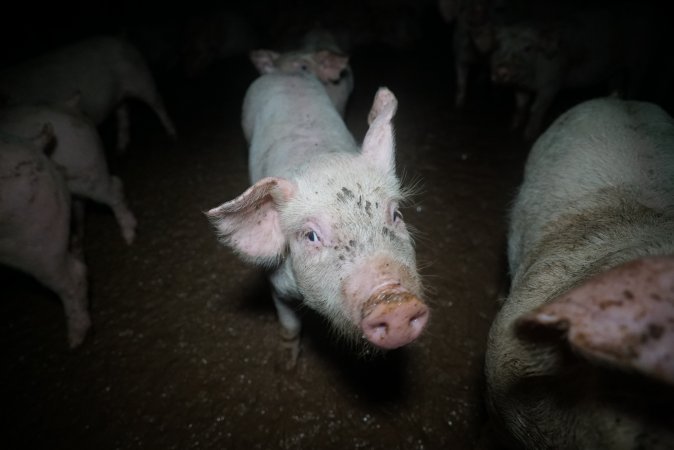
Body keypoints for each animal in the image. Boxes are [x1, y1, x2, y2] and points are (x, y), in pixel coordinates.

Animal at [0, 35, 176, 151]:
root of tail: (121, 38)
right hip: (120, 94)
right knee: (123, 111)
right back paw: (120, 149)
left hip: (140, 78)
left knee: (157, 101)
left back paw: (172, 135)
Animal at [206, 62, 426, 370]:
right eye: (311, 236)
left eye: (396, 214)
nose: (395, 302)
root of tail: (284, 69)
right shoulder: (276, 286)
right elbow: (290, 325)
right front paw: (286, 366)